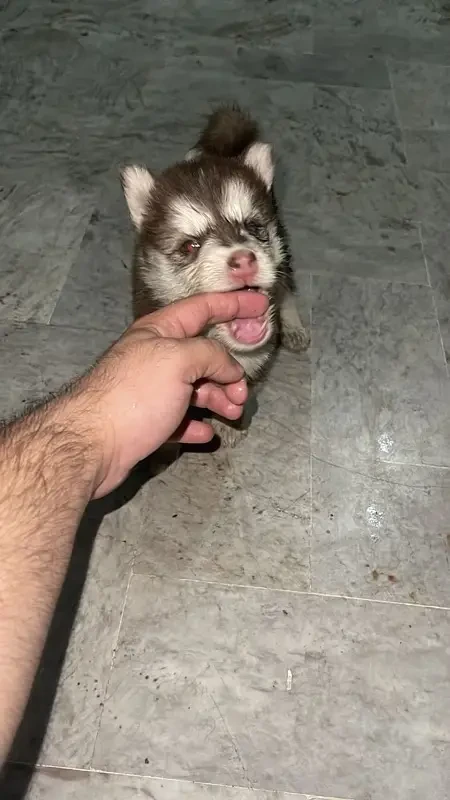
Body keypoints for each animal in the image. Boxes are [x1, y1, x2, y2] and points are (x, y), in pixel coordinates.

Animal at [120, 104, 310, 450]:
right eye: (189, 245)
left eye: (254, 227)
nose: (243, 260)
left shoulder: (254, 361)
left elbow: (241, 392)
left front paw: (230, 424)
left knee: (286, 283)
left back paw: (293, 325)